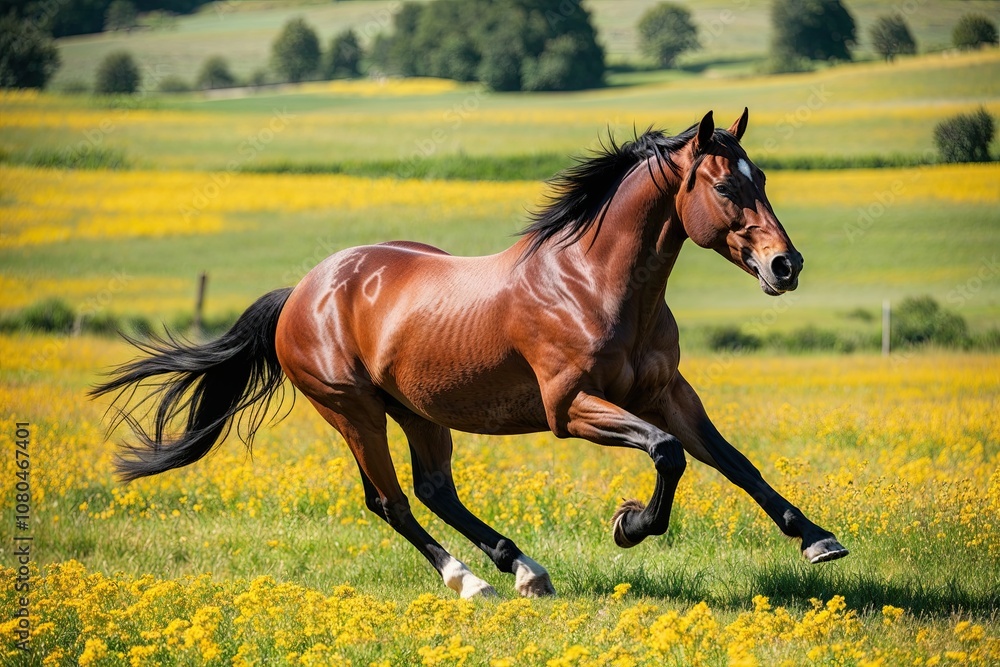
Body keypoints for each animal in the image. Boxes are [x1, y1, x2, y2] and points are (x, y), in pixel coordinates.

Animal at [92, 109, 848, 599]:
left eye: (763, 178)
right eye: (725, 186)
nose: (786, 266)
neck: (592, 282)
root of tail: (304, 291)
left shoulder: (667, 393)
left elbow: (732, 460)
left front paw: (817, 538)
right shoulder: (569, 408)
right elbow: (667, 453)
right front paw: (629, 525)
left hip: (417, 409)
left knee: (434, 489)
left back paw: (526, 570)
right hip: (353, 411)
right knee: (391, 501)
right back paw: (473, 581)